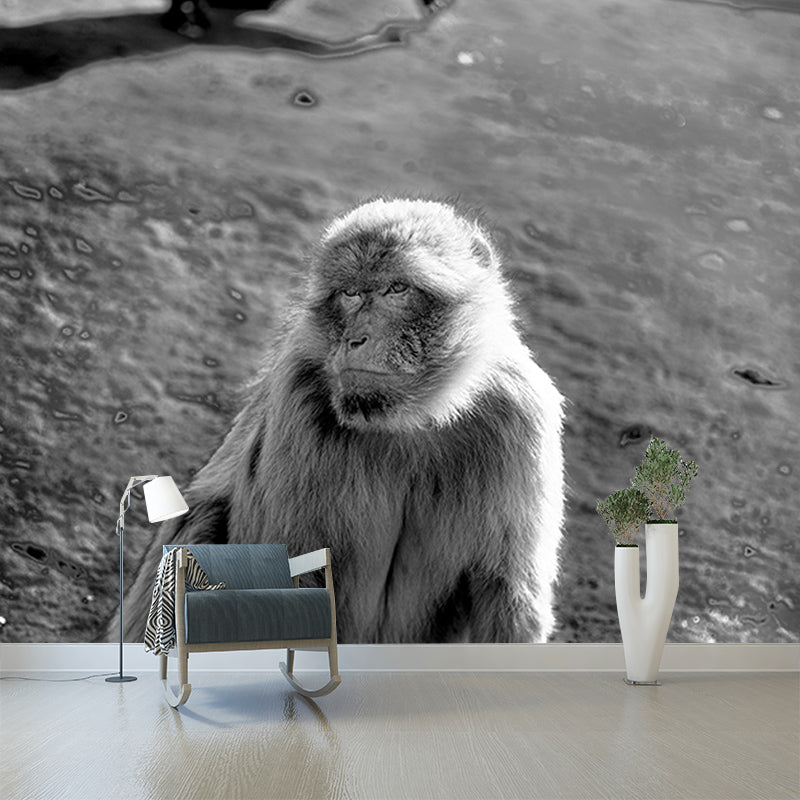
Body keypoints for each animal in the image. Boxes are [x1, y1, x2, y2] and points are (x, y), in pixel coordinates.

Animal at [109, 198, 565, 644]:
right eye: (350, 293)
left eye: (397, 289)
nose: (355, 339)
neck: (409, 421)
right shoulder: (297, 399)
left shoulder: (519, 416)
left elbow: (507, 593)